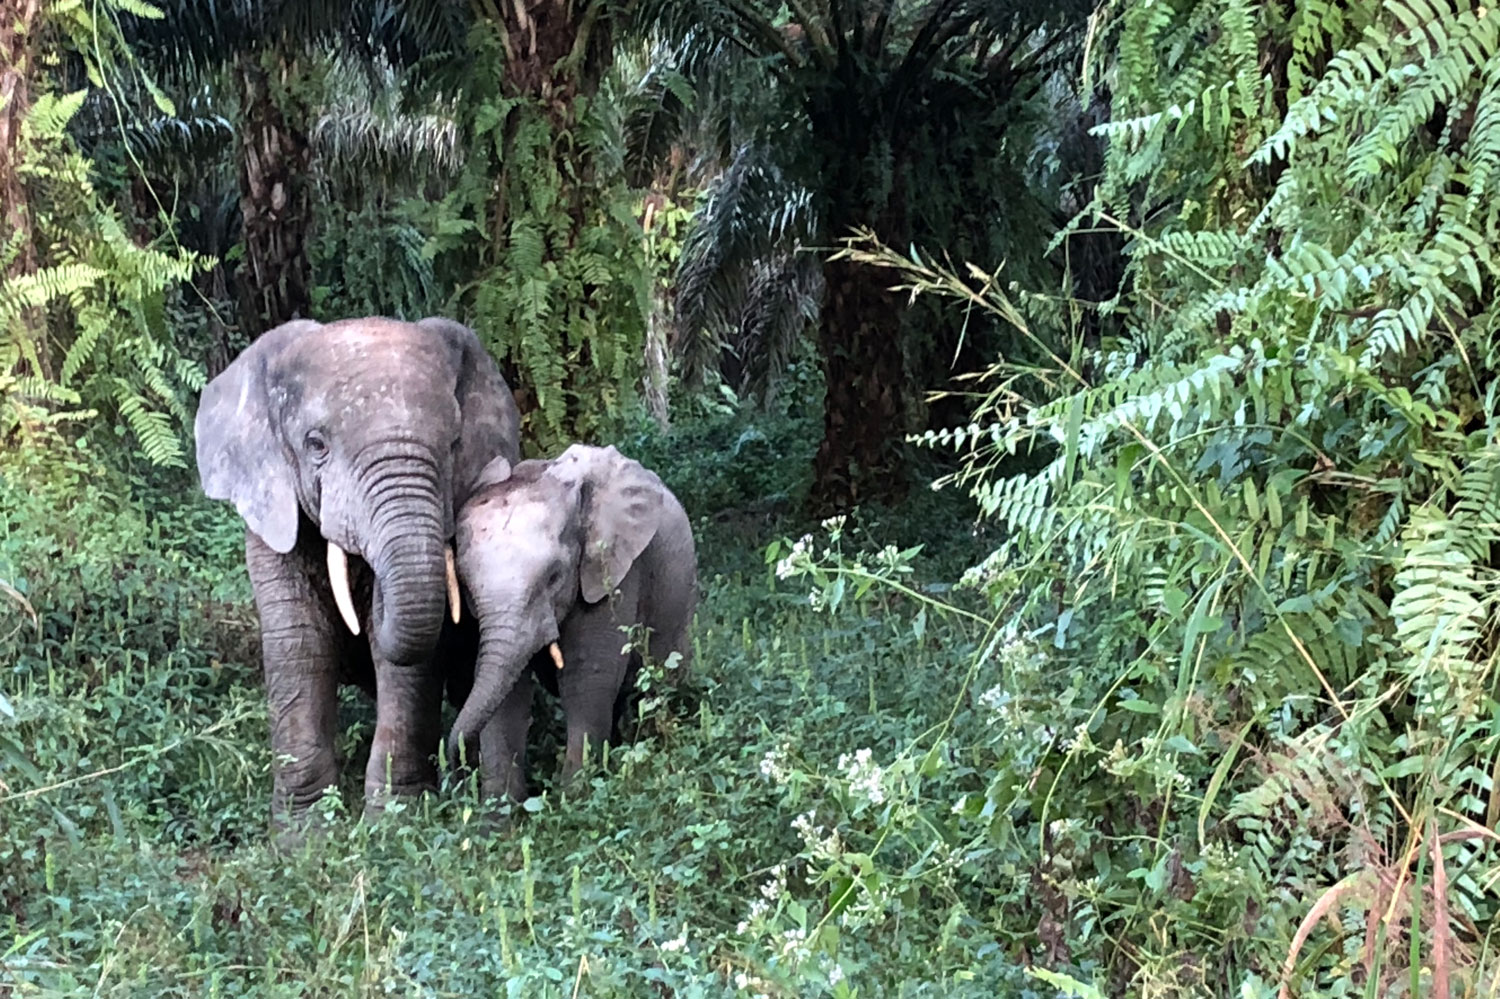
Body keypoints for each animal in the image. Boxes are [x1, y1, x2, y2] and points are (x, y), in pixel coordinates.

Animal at [196, 315, 522, 822]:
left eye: (453, 444)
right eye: (315, 444)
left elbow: (408, 661)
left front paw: (395, 820)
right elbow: (298, 644)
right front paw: (304, 830)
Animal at [450, 441, 696, 792]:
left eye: (554, 577)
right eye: (466, 585)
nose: (455, 765)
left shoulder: (611, 571)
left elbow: (586, 680)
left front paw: (574, 797)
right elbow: (508, 695)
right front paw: (500, 807)